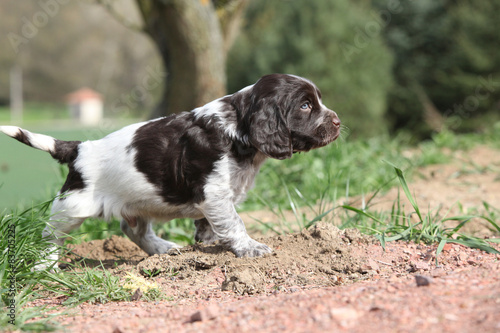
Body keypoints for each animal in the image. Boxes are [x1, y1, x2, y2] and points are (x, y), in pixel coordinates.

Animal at [0, 73, 342, 262]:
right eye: (305, 105)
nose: (338, 122)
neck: (236, 128)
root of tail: (79, 148)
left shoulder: (215, 198)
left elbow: (212, 224)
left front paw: (206, 244)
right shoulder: (215, 192)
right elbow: (234, 222)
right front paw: (249, 248)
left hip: (136, 202)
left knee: (132, 229)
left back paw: (163, 249)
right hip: (72, 206)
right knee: (50, 236)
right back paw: (45, 265)